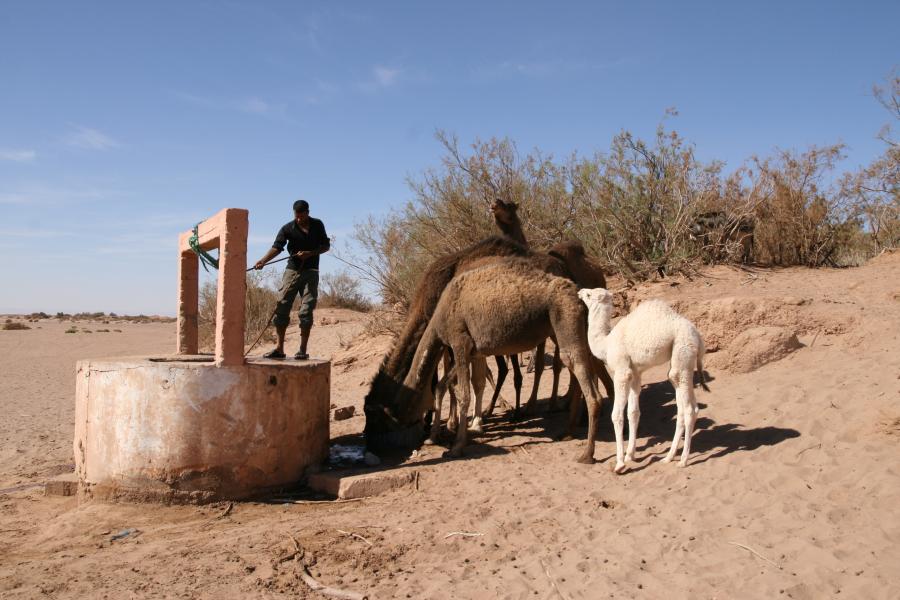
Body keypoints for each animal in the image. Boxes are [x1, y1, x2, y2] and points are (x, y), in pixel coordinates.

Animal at [396, 256, 600, 460]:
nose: (405, 426)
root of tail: (578, 295)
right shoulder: (470, 351)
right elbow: (441, 386)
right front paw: (433, 437)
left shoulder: (459, 342)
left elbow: (464, 395)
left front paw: (457, 446)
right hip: (562, 330)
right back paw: (568, 431)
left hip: (565, 320)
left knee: (585, 381)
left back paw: (587, 453)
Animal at [576, 290, 712, 474]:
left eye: (589, 295)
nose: (579, 292)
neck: (606, 344)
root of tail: (698, 335)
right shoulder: (635, 373)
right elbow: (633, 412)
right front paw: (630, 455)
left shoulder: (622, 371)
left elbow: (617, 415)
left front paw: (620, 464)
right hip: (682, 361)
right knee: (685, 404)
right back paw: (668, 457)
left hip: (683, 349)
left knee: (689, 409)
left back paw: (683, 460)